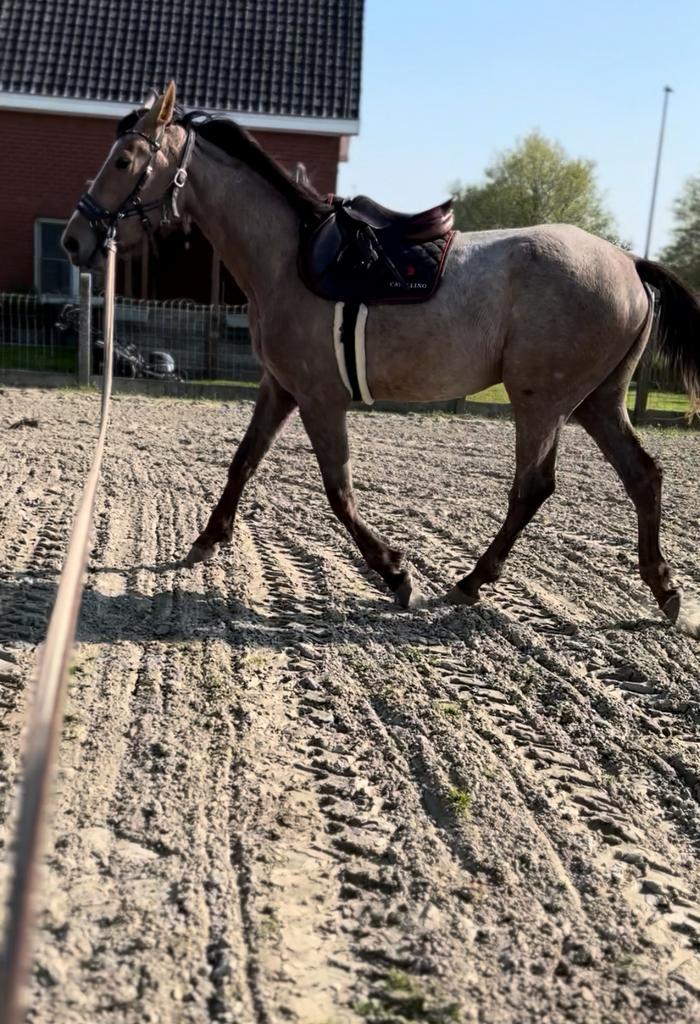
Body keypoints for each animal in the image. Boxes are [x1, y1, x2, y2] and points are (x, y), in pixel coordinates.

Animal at [62, 83, 700, 631]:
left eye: (123, 161)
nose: (74, 238)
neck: (287, 255)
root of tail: (628, 262)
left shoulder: (320, 398)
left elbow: (337, 490)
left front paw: (395, 573)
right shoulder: (280, 388)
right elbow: (243, 463)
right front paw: (205, 540)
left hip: (542, 401)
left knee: (533, 486)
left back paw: (472, 582)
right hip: (597, 401)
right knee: (643, 475)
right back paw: (665, 589)